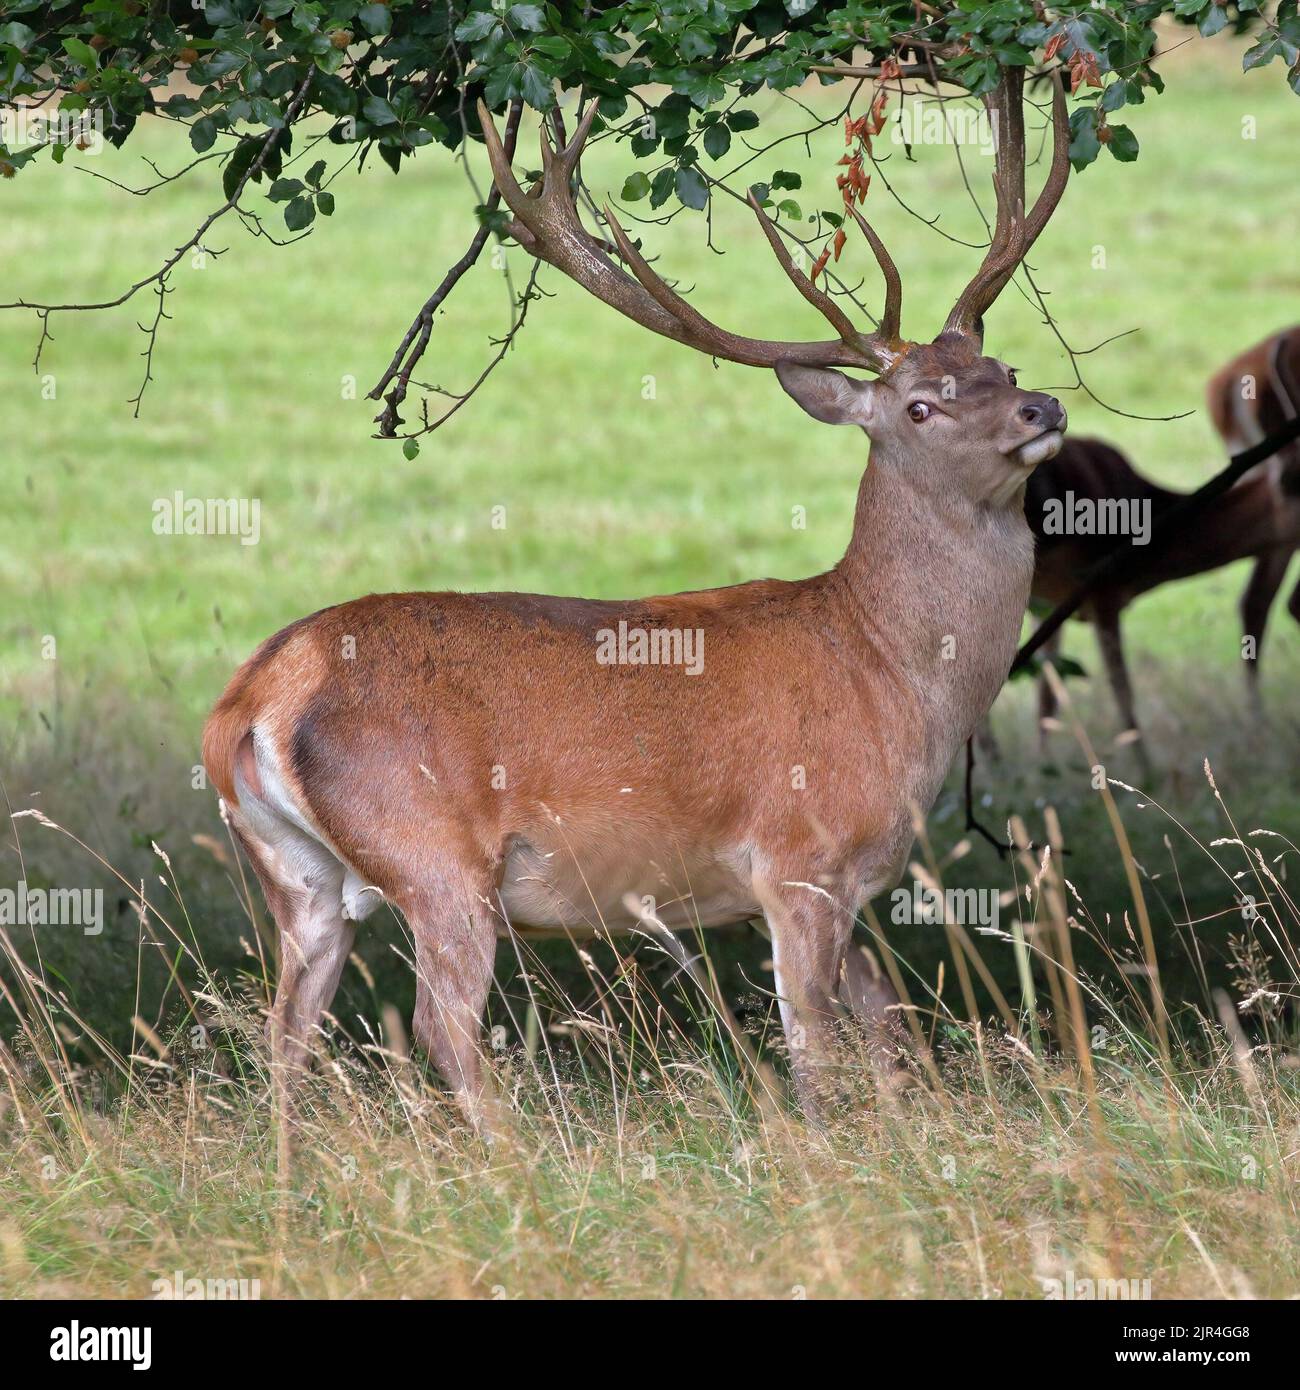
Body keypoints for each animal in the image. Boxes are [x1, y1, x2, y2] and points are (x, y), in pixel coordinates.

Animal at [202, 71, 1070, 1125]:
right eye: (920, 405)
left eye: (1004, 368)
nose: (1043, 408)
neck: (891, 675)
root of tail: (256, 696)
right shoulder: (799, 856)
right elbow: (816, 1052)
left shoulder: (846, 889)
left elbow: (888, 1026)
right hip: (434, 854)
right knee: (443, 1031)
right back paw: (518, 1152)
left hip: (298, 878)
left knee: (285, 1040)